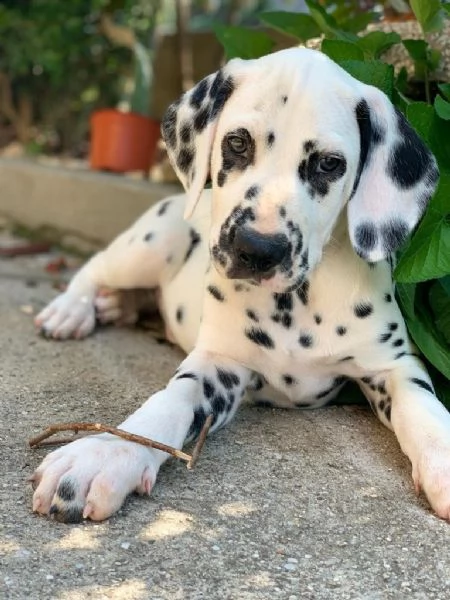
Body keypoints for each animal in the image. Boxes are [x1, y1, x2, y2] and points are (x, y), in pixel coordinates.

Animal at [31, 47, 450, 524]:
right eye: (237, 142)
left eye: (329, 163)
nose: (257, 249)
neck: (297, 304)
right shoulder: (219, 365)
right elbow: (168, 403)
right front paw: (104, 452)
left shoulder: (393, 364)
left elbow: (426, 411)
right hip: (153, 242)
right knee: (96, 266)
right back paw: (73, 310)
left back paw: (117, 306)